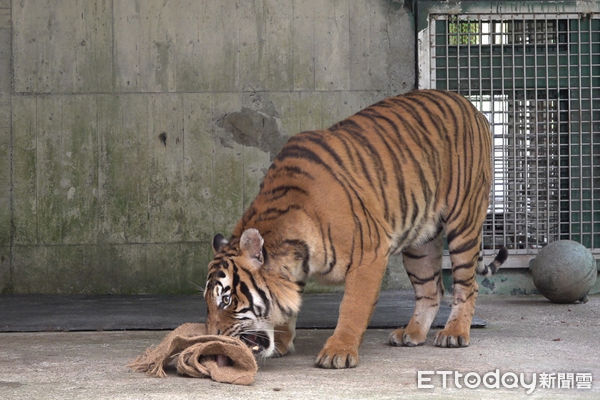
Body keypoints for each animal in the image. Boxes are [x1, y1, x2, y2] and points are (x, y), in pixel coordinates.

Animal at [204, 90, 508, 368]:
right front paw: (281, 341)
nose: (213, 337)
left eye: (226, 300)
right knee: (431, 289)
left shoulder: (370, 255)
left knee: (467, 285)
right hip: (420, 243)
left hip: (464, 222)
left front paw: (338, 351)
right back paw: (412, 333)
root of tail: (471, 106)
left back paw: (454, 333)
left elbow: (352, 306)